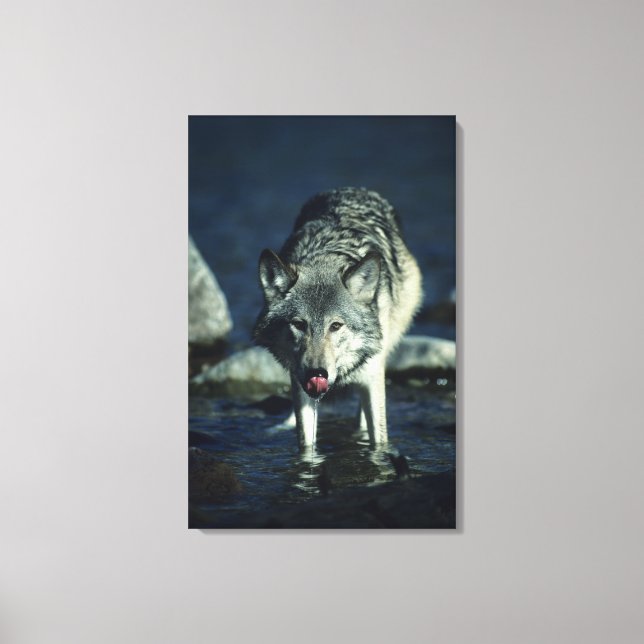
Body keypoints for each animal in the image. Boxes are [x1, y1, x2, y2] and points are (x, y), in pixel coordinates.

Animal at [253, 187, 422, 448]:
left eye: (335, 326)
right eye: (299, 324)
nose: (317, 373)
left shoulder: (372, 378)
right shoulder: (300, 385)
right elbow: (306, 442)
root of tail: (354, 189)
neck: (325, 258)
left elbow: (379, 439)